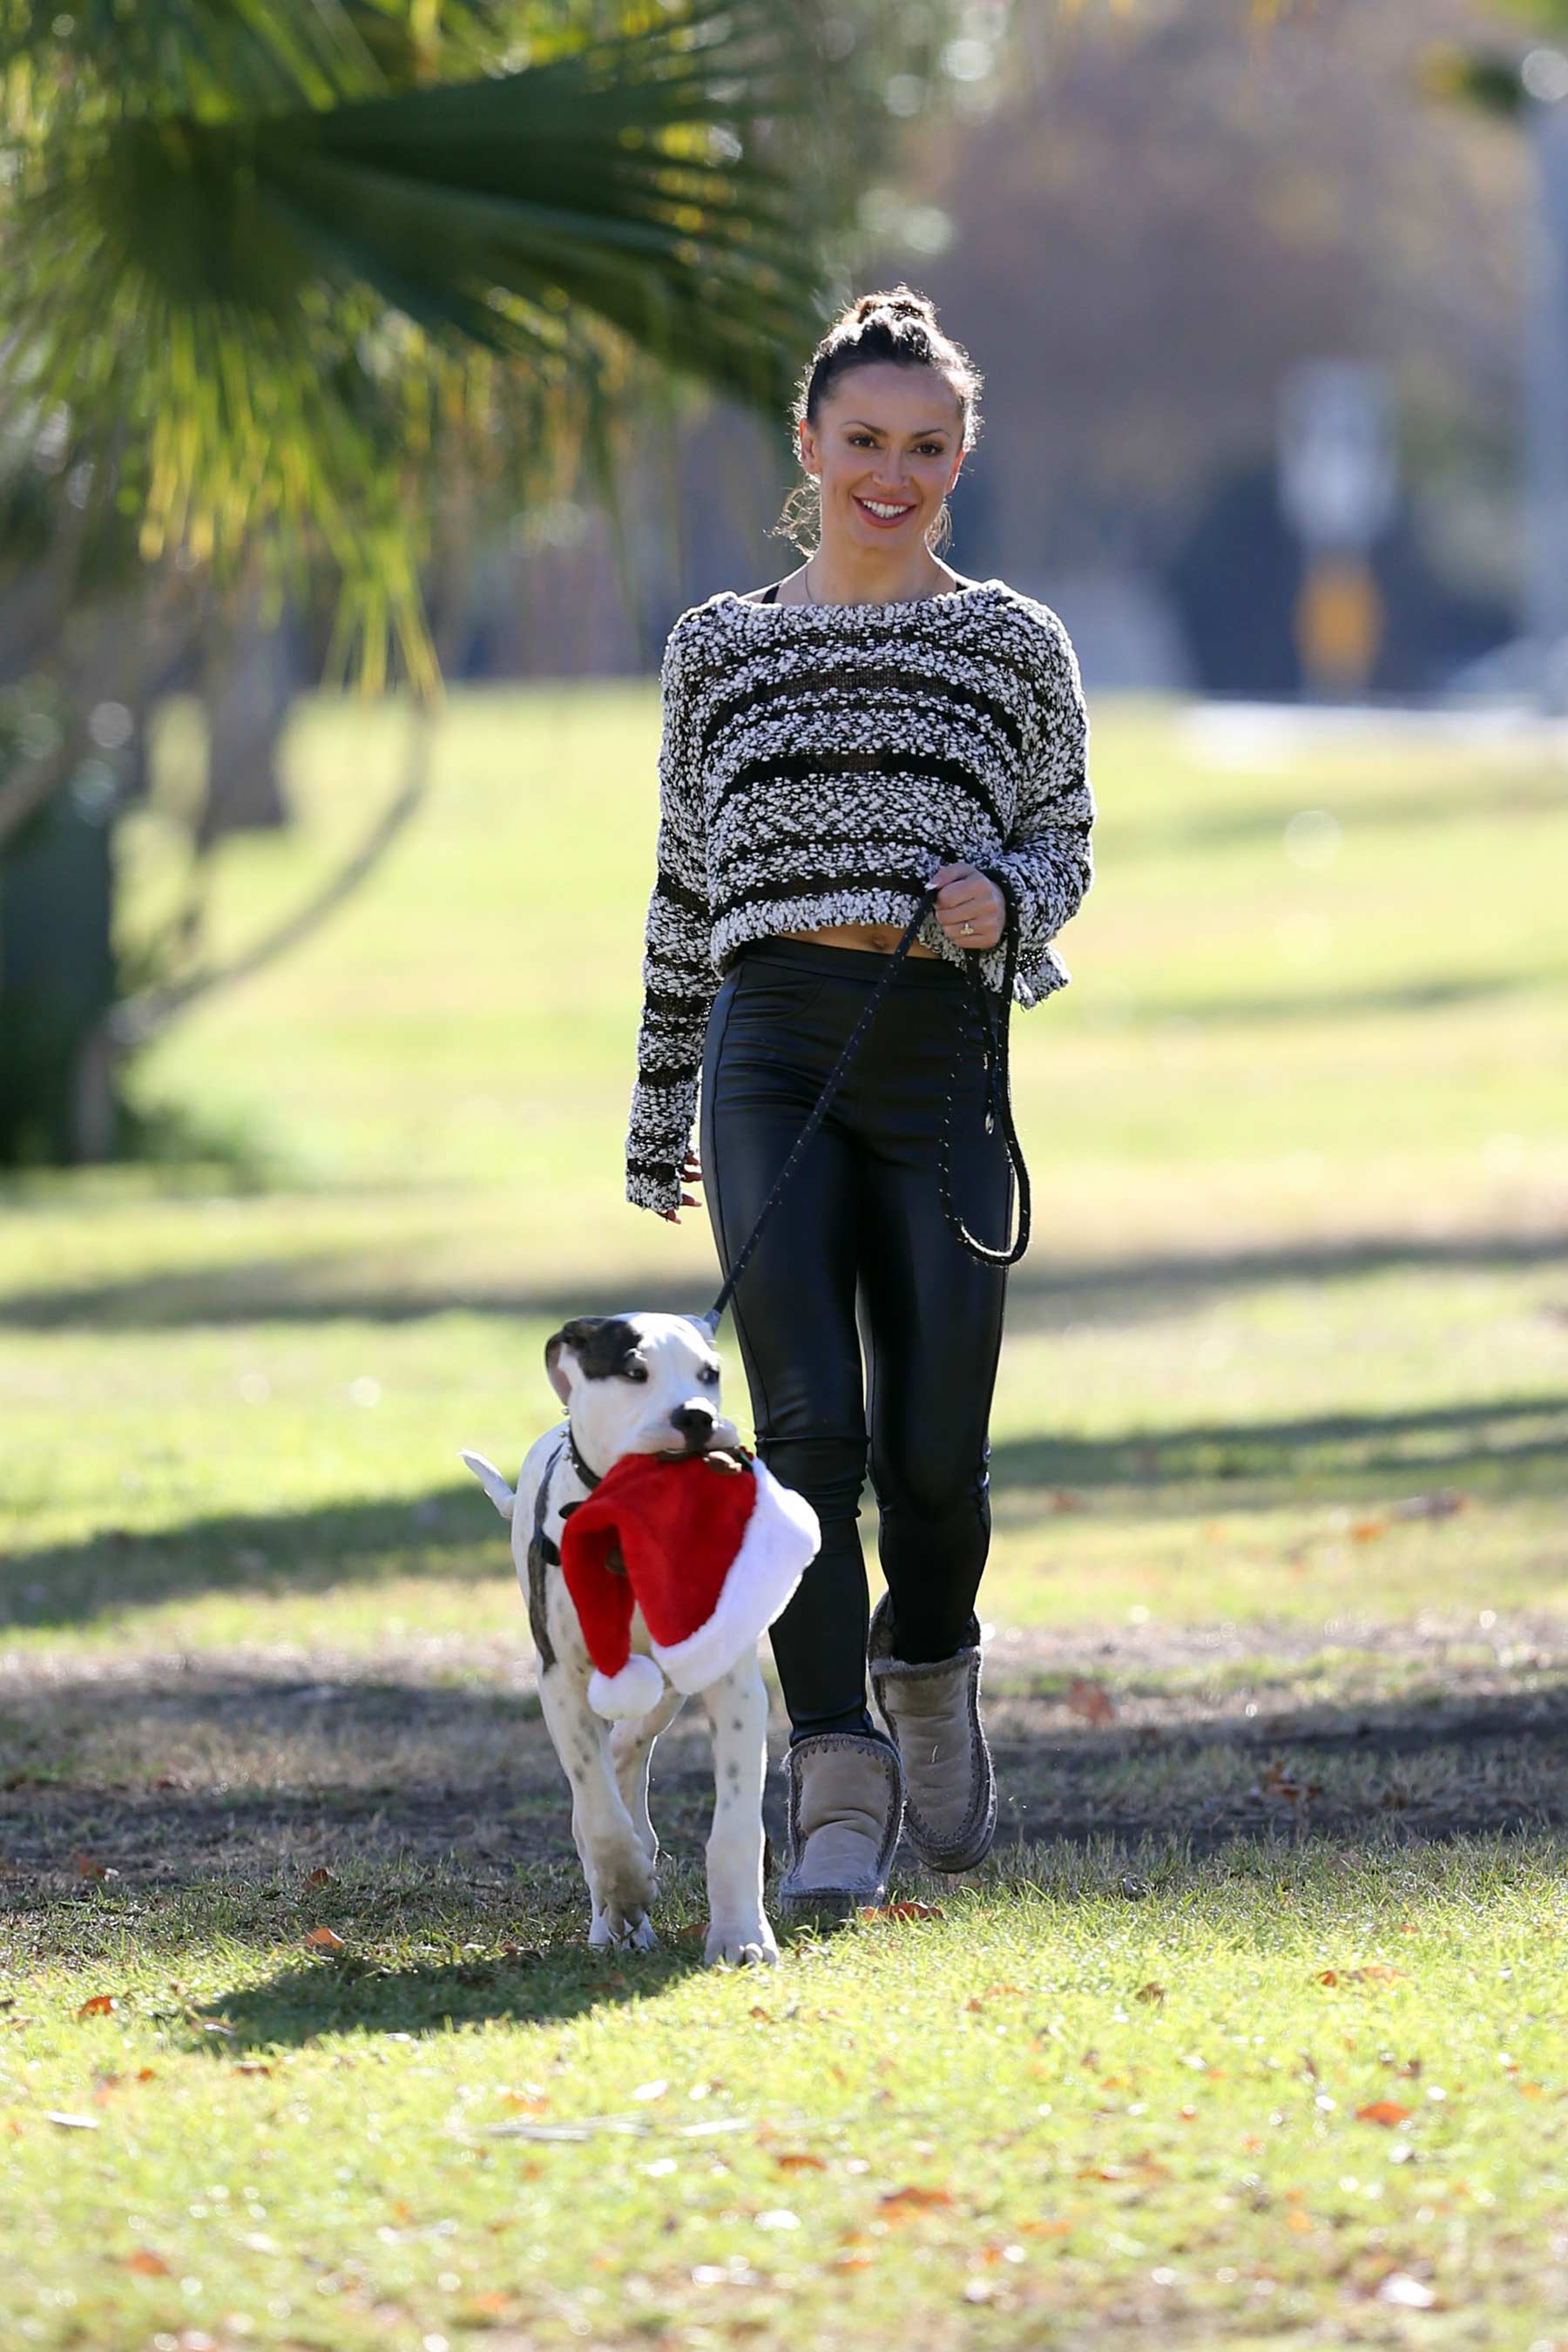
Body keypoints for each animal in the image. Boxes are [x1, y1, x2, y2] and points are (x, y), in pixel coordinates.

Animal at [460, 1317, 789, 1976]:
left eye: (710, 1373)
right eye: (635, 1371)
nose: (695, 1417)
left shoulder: (733, 1683)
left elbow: (736, 1822)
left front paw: (741, 1935)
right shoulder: (561, 1680)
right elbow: (599, 1807)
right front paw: (626, 1885)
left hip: (668, 1682)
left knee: (633, 1744)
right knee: (604, 1787)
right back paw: (613, 1916)